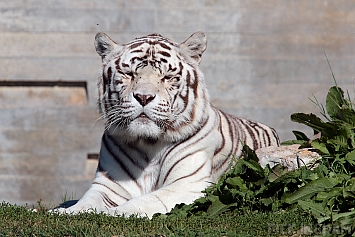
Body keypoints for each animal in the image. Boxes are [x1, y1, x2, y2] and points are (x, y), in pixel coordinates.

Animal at [55, 31, 280, 218]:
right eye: (129, 74)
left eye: (167, 77)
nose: (143, 97)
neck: (148, 144)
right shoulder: (107, 187)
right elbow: (85, 203)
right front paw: (62, 212)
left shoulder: (188, 185)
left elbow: (141, 202)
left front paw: (110, 213)